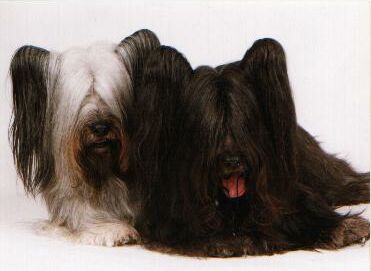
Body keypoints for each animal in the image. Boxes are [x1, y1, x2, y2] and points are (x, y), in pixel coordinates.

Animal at [131, 39, 370, 258]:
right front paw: (227, 241)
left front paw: (342, 227)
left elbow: (307, 206)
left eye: (244, 124)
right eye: (209, 129)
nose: (233, 161)